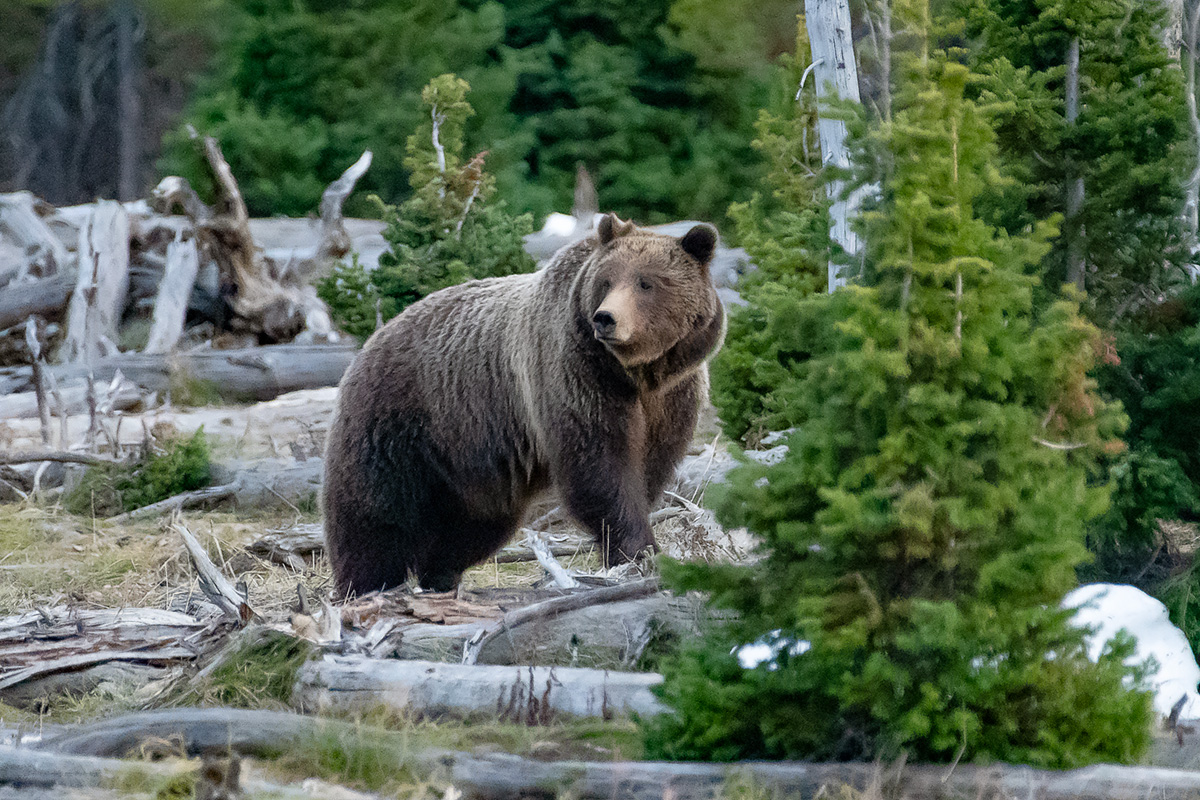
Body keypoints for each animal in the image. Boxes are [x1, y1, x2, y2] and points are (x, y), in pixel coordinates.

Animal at [321, 212, 720, 594]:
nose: (606, 318)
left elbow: (649, 466)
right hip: (397, 421)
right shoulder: (577, 374)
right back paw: (368, 586)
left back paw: (439, 576)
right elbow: (602, 465)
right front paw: (638, 549)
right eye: (607, 281)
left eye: (647, 282)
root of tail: (371, 340)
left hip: (468, 462)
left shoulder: (671, 395)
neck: (635, 373)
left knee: (472, 527)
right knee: (374, 514)